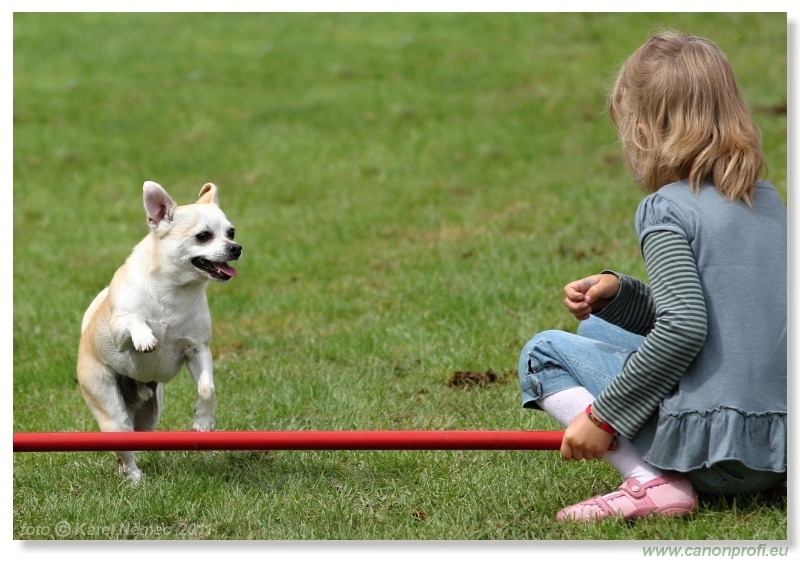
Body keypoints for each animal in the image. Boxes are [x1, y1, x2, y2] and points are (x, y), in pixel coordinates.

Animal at [77, 180, 242, 482]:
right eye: (203, 236)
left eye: (231, 232)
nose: (236, 247)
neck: (173, 290)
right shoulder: (119, 330)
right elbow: (134, 319)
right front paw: (145, 337)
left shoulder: (198, 350)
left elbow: (207, 388)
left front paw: (204, 420)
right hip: (109, 407)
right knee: (122, 438)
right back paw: (133, 478)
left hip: (149, 417)